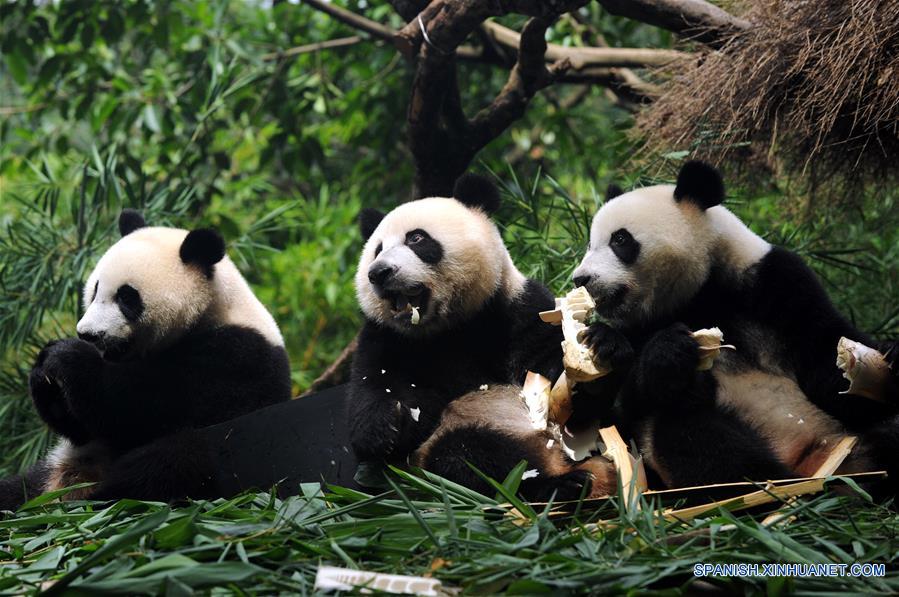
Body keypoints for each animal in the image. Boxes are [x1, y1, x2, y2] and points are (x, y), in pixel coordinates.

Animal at [0, 210, 291, 510]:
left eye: (127, 297)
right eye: (95, 290)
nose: (88, 334)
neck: (214, 309)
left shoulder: (234, 358)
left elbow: (138, 408)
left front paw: (69, 357)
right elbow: (83, 429)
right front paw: (44, 372)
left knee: (174, 460)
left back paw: (98, 499)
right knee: (19, 486)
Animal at [349, 175, 615, 501]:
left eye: (416, 239)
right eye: (376, 250)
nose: (379, 272)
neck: (448, 328)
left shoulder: (517, 308)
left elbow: (545, 370)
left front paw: (591, 359)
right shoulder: (385, 337)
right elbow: (373, 385)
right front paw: (385, 429)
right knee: (468, 457)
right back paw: (564, 483)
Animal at [571, 160, 899, 489]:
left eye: (620, 240)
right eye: (589, 243)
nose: (580, 279)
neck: (700, 294)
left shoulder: (775, 284)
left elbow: (828, 366)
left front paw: (888, 356)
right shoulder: (641, 327)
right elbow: (616, 415)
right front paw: (627, 346)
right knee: (688, 431)